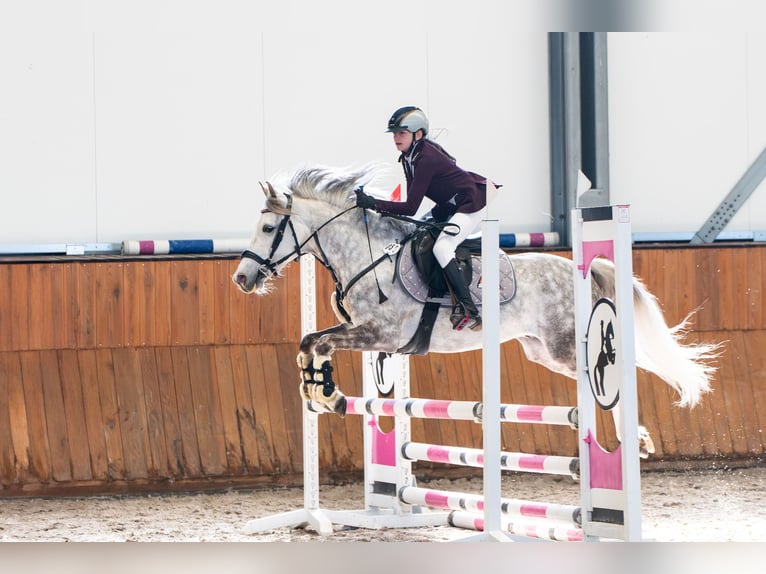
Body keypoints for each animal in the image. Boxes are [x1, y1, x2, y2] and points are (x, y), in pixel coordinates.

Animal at [232, 164, 721, 458]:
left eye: (269, 227)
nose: (241, 278)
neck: (368, 254)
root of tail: (580, 269)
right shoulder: (367, 333)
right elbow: (310, 342)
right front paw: (316, 391)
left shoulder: (381, 335)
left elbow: (319, 343)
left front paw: (328, 393)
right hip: (546, 352)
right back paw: (631, 440)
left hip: (568, 348)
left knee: (617, 376)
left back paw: (632, 439)